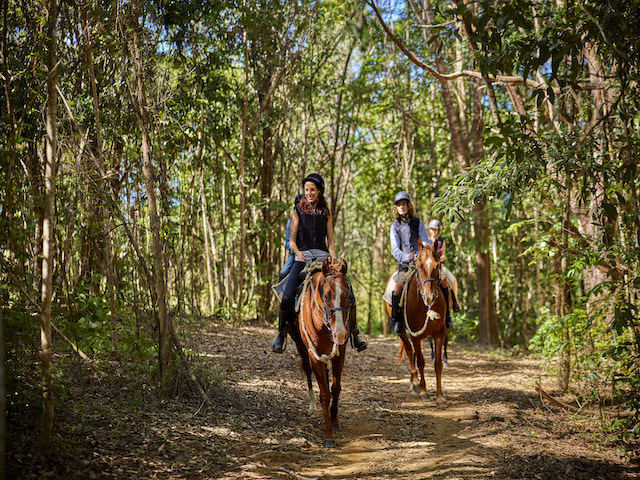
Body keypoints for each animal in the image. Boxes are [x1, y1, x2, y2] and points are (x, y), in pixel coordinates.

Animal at [288, 256, 350, 448]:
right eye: (327, 295)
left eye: (347, 295)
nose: (340, 334)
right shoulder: (314, 355)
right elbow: (324, 394)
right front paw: (328, 435)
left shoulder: (340, 353)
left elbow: (335, 388)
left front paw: (334, 420)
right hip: (302, 348)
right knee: (308, 372)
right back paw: (313, 407)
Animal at [384, 244, 450, 404]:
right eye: (420, 266)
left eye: (437, 265)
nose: (429, 297)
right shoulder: (416, 336)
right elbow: (421, 362)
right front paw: (424, 392)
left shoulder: (440, 333)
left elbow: (437, 363)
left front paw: (439, 395)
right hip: (402, 331)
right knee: (409, 351)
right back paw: (415, 383)